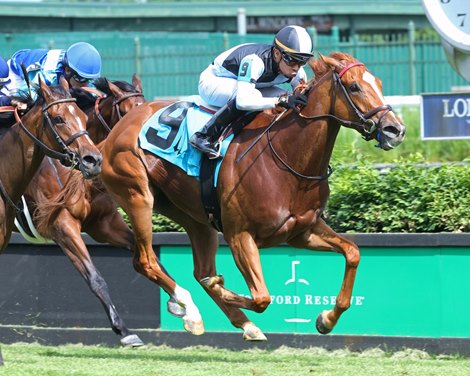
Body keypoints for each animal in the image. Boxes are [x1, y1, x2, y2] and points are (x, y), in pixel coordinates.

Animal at [16, 75, 145, 346]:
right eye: (128, 113)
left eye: (83, 119)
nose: (93, 161)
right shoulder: (62, 226)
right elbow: (95, 278)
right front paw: (123, 330)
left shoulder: (104, 224)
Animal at [101, 51, 406, 340]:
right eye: (354, 86)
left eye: (379, 84)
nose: (396, 130)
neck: (287, 158)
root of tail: (115, 131)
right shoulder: (240, 235)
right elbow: (261, 297)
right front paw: (221, 288)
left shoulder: (302, 231)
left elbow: (353, 252)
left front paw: (326, 319)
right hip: (138, 196)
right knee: (146, 261)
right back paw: (188, 305)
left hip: (193, 216)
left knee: (200, 271)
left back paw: (234, 322)